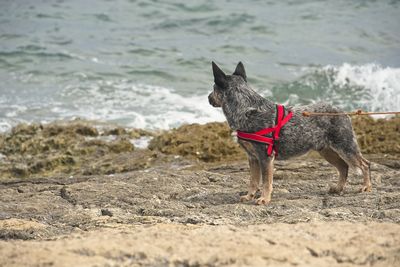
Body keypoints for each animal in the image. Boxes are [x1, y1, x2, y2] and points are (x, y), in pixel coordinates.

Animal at [209, 61, 372, 206]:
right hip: (327, 151)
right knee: (343, 167)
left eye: (213, 88)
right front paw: (249, 196)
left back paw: (366, 187)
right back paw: (338, 188)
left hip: (346, 147)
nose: (208, 97)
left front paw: (264, 199)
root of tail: (343, 112)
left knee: (365, 164)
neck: (246, 109)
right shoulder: (252, 158)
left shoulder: (265, 157)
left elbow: (266, 181)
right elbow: (253, 180)